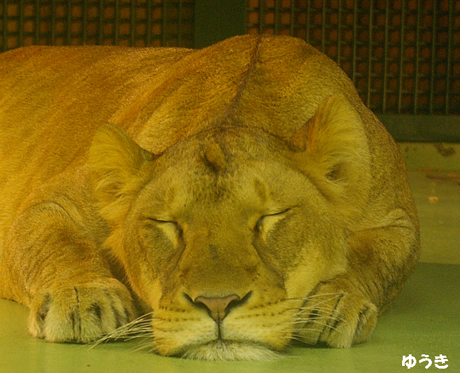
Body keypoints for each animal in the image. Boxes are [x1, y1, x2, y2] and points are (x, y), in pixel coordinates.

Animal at [0, 35, 418, 360]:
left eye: (267, 220)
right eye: (169, 225)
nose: (217, 305)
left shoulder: (398, 222)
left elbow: (371, 259)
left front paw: (332, 304)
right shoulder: (56, 198)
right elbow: (55, 239)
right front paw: (82, 296)